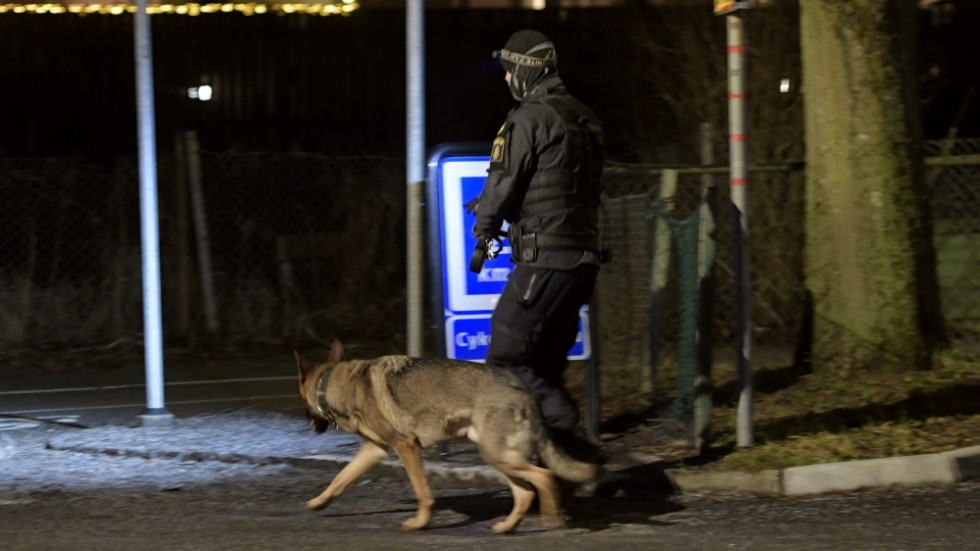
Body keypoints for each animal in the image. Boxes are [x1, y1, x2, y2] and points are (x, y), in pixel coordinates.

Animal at [292, 340, 596, 536]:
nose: (305, 421)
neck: (333, 383)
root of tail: (524, 388)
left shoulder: (407, 446)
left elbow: (422, 492)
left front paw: (420, 523)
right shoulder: (374, 450)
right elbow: (339, 480)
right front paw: (319, 502)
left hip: (498, 456)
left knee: (546, 477)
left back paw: (553, 520)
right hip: (497, 457)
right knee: (525, 492)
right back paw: (507, 527)